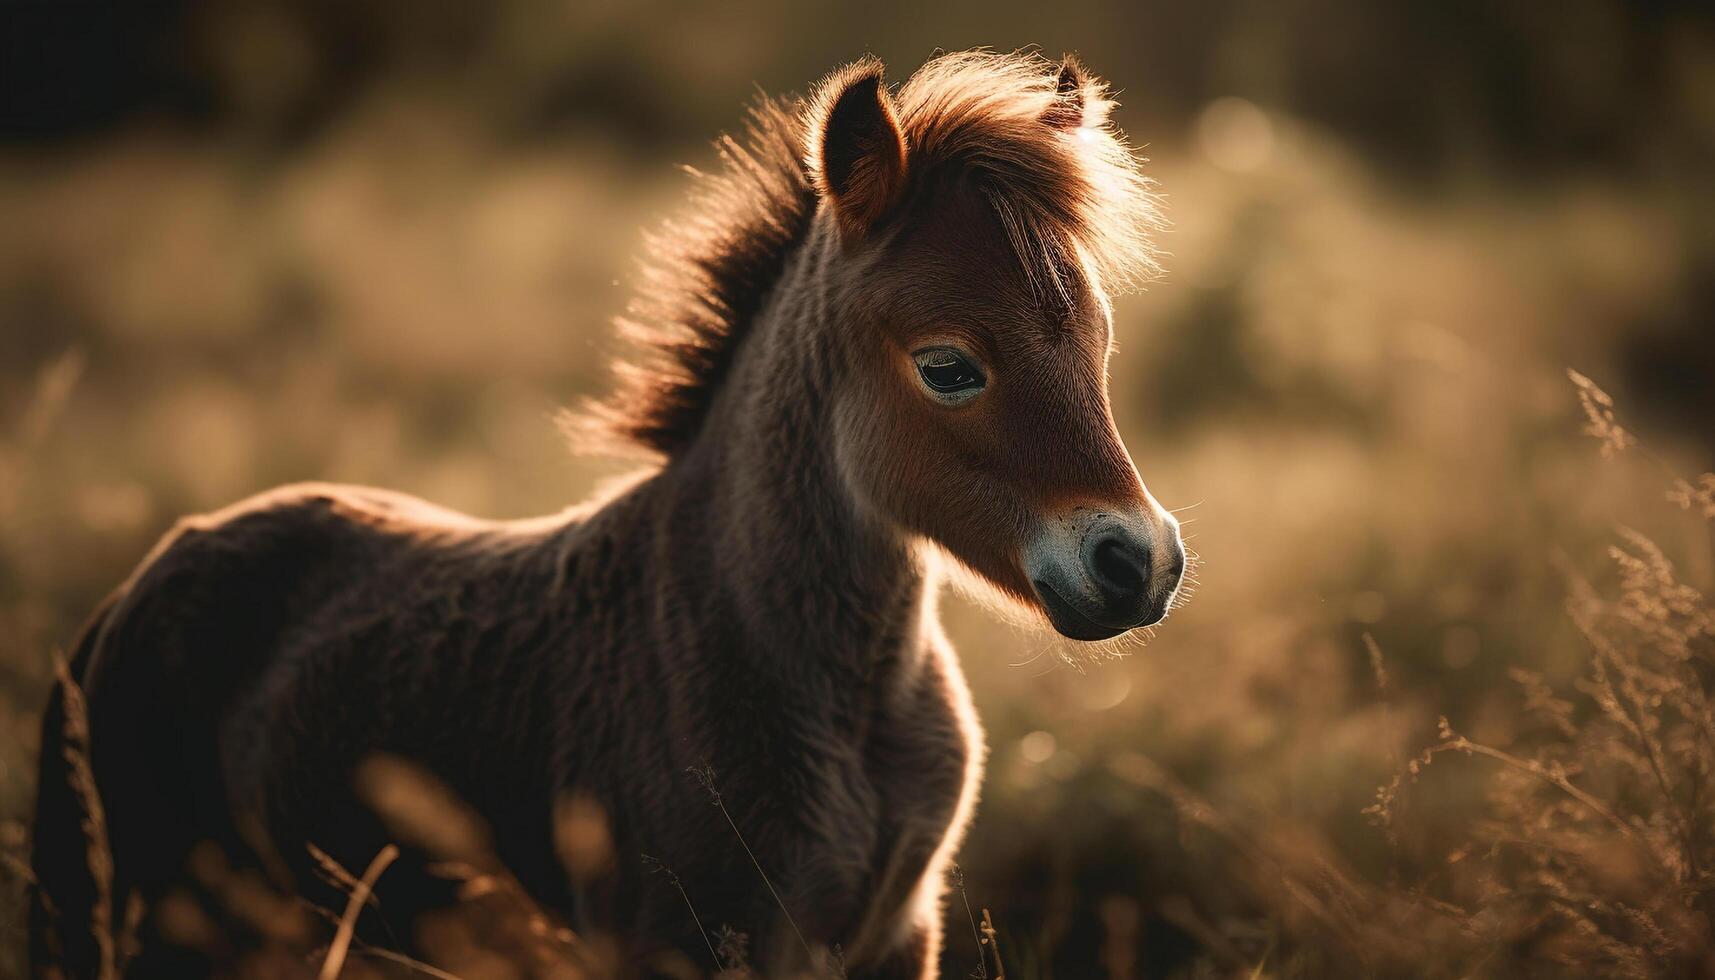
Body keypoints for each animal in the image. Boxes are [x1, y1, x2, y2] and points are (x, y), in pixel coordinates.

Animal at [30, 49, 1179, 974]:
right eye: (946, 366)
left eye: (1099, 339)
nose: (1137, 563)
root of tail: (145, 580)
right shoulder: (681, 941)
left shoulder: (898, 933)